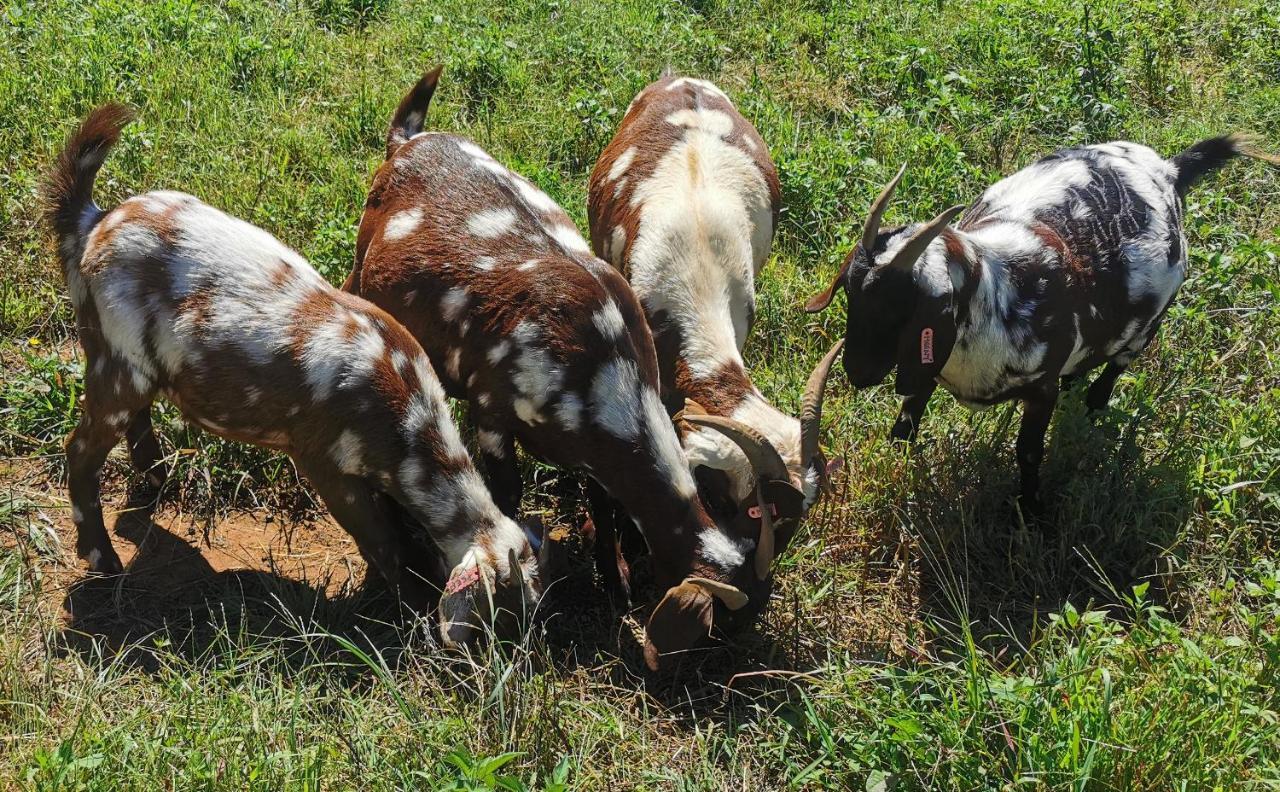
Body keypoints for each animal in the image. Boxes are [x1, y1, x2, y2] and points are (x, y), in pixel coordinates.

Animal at [45, 106, 540, 649]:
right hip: (113, 359)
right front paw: (409, 609)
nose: (514, 656)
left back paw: (156, 479)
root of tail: (92, 225)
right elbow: (382, 539)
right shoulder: (324, 461)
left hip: (132, 365)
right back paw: (103, 557)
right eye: (503, 612)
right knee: (80, 450)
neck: (405, 413)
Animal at [345, 71, 773, 670]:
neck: (601, 366)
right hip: (360, 266)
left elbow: (603, 498)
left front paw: (613, 579)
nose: (734, 670)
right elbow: (507, 492)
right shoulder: (491, 412)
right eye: (722, 628)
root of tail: (408, 142)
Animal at [803, 136, 1274, 514]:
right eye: (850, 293)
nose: (857, 373)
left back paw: (1092, 408)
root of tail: (1168, 170)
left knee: (1112, 371)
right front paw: (893, 456)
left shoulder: (1039, 389)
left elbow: (1029, 452)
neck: (999, 297)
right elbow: (907, 418)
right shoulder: (928, 365)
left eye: (898, 308)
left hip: (1143, 331)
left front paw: (1031, 511)